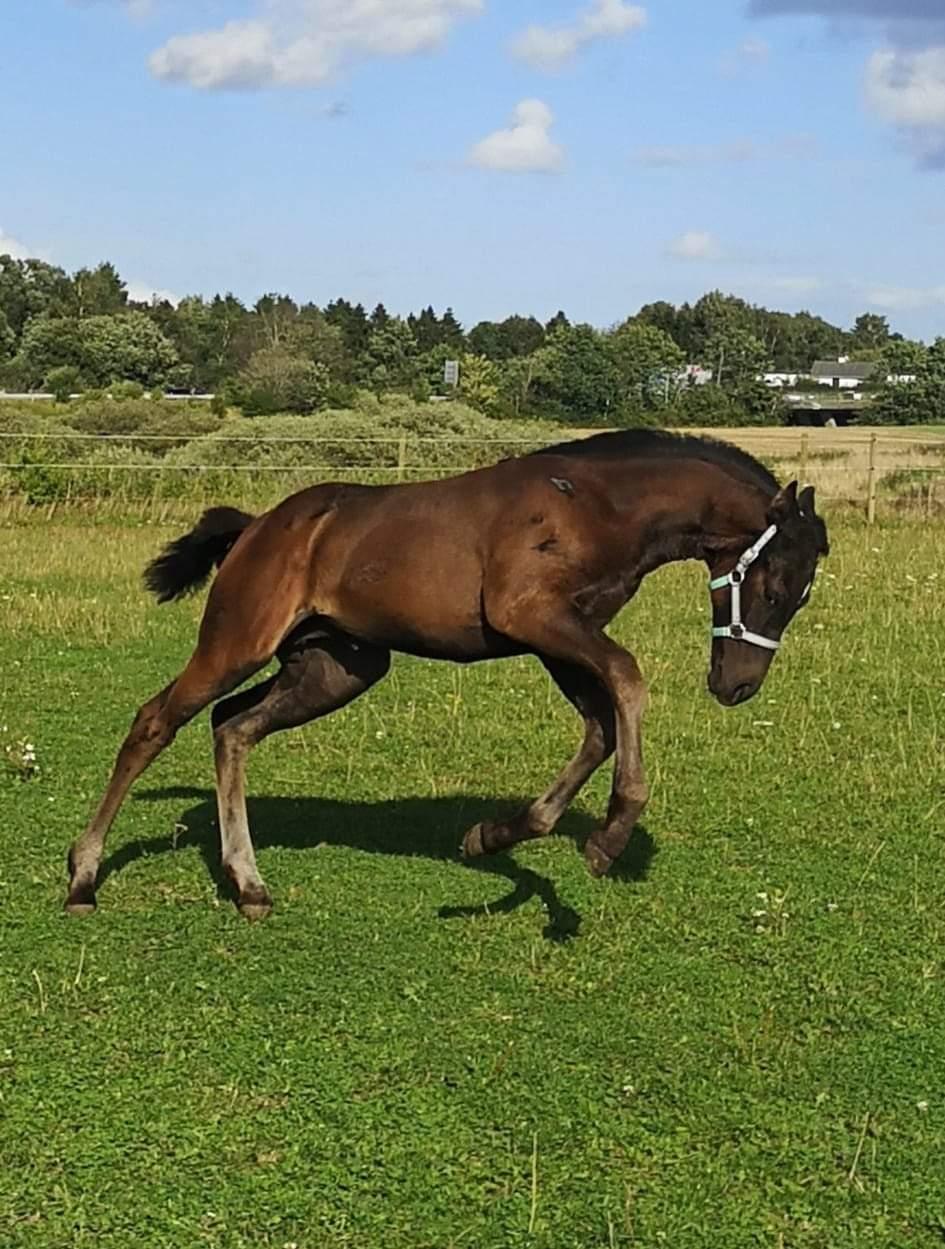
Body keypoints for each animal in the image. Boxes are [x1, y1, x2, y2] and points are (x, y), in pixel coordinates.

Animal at [64, 429, 823, 919]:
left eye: (800, 595)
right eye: (775, 586)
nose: (737, 686)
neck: (597, 503)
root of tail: (256, 526)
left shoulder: (558, 637)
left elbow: (599, 726)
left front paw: (497, 834)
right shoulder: (532, 615)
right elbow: (628, 681)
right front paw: (610, 834)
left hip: (336, 668)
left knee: (232, 726)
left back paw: (247, 883)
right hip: (239, 640)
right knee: (156, 720)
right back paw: (83, 876)